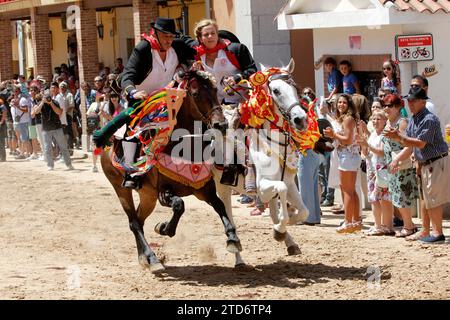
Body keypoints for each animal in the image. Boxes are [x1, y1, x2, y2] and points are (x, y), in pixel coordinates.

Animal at [100, 70, 241, 272]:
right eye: (196, 94)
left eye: (215, 90)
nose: (220, 125)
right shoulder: (163, 192)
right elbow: (179, 205)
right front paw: (164, 228)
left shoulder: (203, 190)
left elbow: (220, 206)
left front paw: (233, 239)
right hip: (121, 189)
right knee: (134, 222)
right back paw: (153, 259)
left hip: (148, 195)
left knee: (139, 220)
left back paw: (144, 258)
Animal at [211, 58, 310, 266]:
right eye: (276, 91)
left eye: (295, 87)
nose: (300, 119)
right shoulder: (263, 186)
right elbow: (280, 193)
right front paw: (279, 229)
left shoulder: (290, 184)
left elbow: (303, 211)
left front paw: (282, 229)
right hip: (222, 186)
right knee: (228, 216)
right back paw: (238, 256)